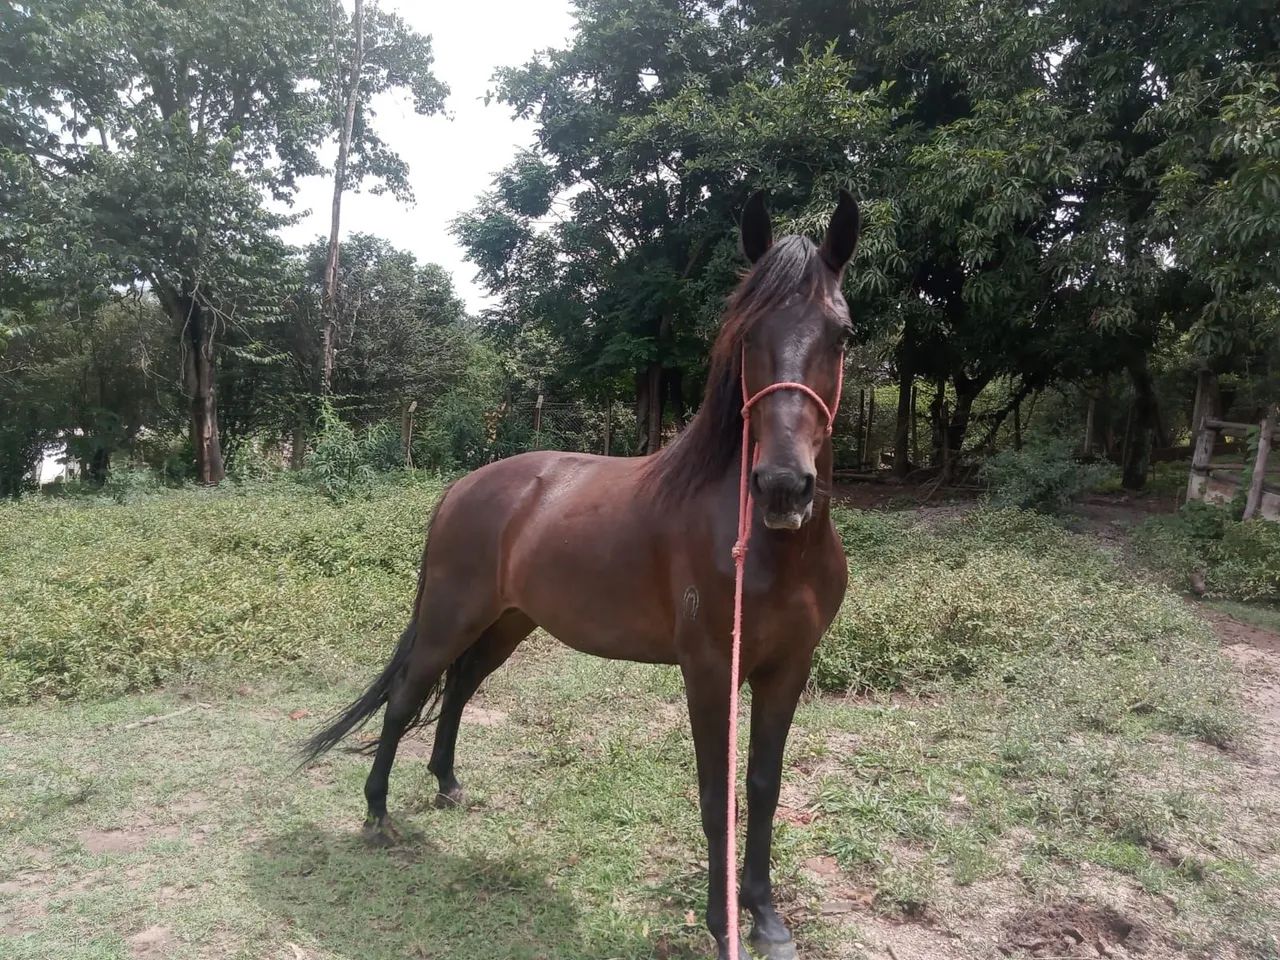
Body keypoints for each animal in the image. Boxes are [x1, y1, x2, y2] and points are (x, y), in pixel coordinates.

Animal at [304, 189, 860, 960]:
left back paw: (447, 784)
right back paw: (377, 814)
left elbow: (763, 785)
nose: (783, 487)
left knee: (461, 686)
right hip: (450, 615)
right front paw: (722, 923)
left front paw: (766, 917)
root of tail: (462, 487)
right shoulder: (710, 669)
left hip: (508, 623)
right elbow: (715, 794)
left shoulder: (789, 668)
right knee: (407, 698)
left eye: (842, 335)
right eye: (747, 334)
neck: (771, 549)